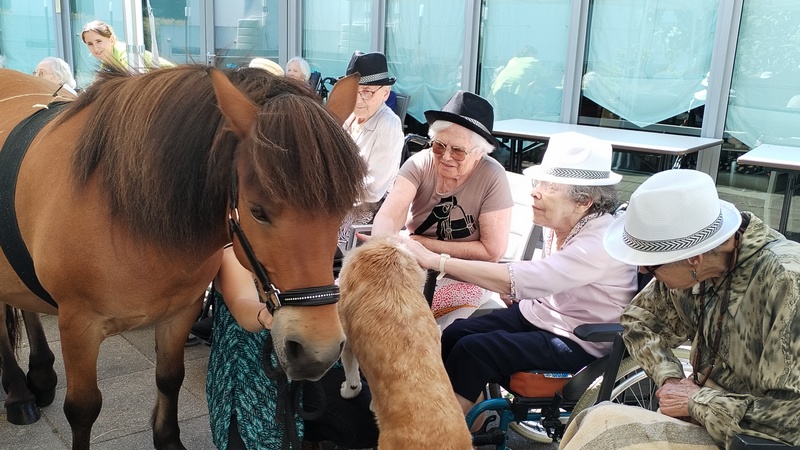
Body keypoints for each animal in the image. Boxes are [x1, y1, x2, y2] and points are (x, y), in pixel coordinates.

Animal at [0, 67, 368, 450]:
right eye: (258, 211)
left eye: (343, 208)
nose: (317, 351)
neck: (126, 214)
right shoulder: (78, 325)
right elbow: (83, 409)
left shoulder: (180, 312)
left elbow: (169, 377)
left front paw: (167, 439)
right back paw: (20, 397)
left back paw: (40, 376)